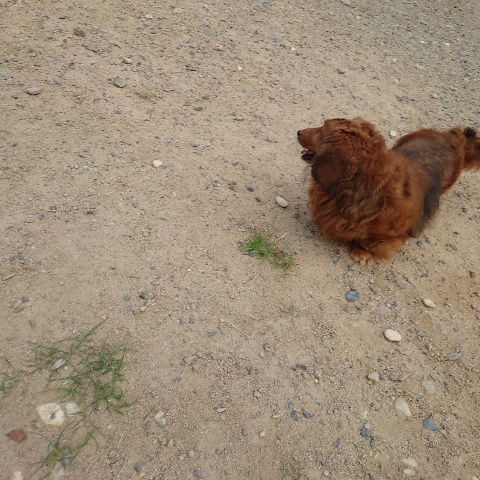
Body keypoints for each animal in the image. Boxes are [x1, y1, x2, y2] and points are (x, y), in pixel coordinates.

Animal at [297, 117, 480, 265]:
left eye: (323, 127)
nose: (298, 131)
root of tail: (453, 137)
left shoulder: (395, 234)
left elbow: (370, 241)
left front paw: (362, 253)